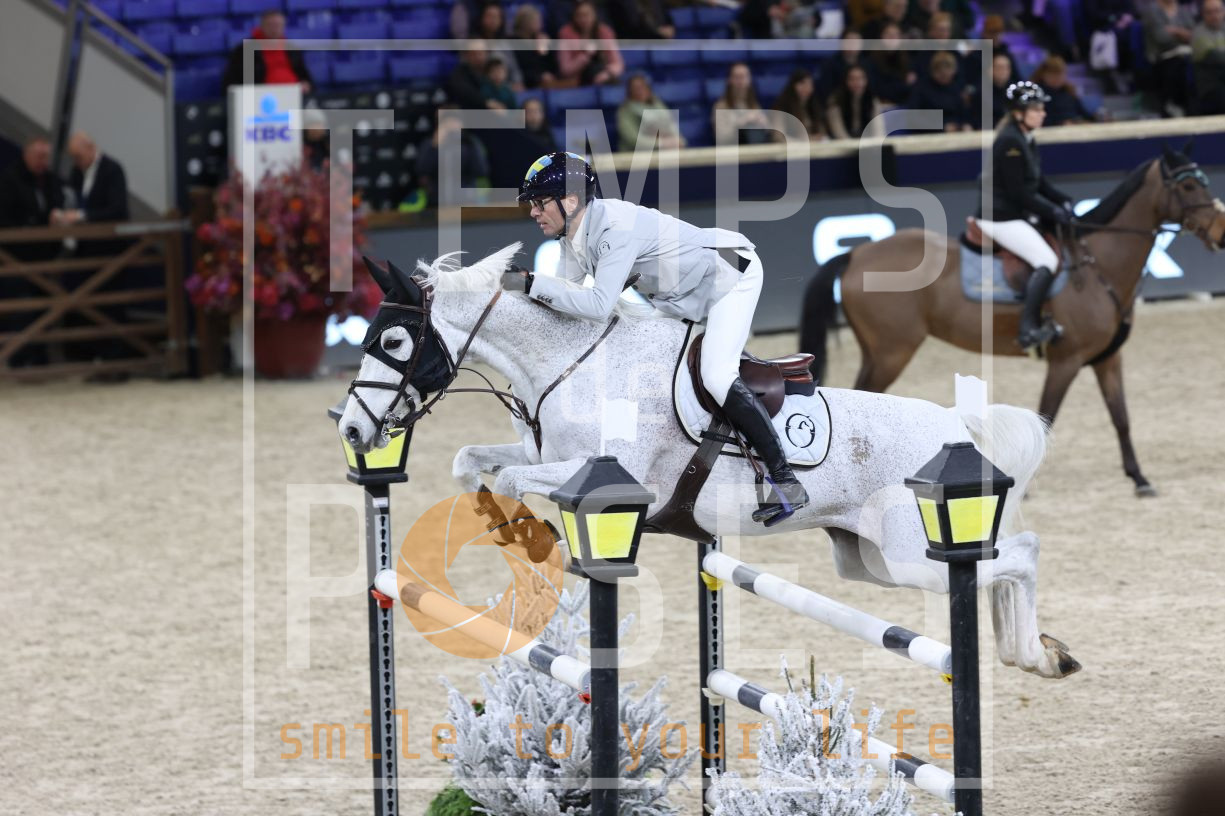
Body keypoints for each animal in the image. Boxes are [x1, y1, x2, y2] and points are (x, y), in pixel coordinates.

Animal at [337, 243, 1081, 678]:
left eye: (394, 340)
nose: (349, 427)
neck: (574, 364)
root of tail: (954, 424)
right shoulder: (539, 450)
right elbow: (474, 462)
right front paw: (513, 529)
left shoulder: (611, 481)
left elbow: (518, 477)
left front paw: (535, 535)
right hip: (867, 561)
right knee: (994, 565)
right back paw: (1034, 652)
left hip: (908, 556)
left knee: (1019, 553)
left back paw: (1036, 653)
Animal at [799, 144, 1225, 497]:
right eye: (1189, 186)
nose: (1221, 233)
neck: (1099, 264)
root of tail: (857, 254)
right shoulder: (1066, 361)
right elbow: (1047, 418)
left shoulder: (1107, 359)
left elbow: (1121, 418)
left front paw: (1139, 479)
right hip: (893, 352)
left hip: (881, 352)